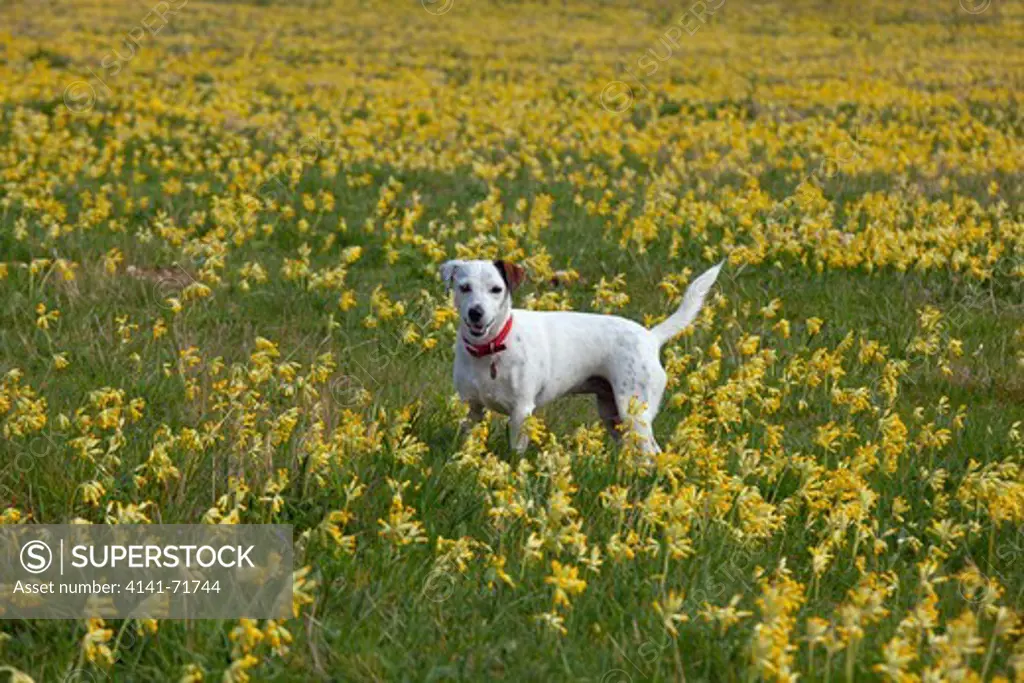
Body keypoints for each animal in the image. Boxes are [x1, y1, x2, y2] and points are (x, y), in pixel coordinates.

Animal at [440, 259, 720, 456]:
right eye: (464, 288)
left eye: (496, 289)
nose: (476, 312)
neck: (492, 348)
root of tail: (651, 338)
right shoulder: (471, 408)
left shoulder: (521, 411)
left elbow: (515, 453)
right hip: (613, 414)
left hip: (634, 412)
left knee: (653, 454)